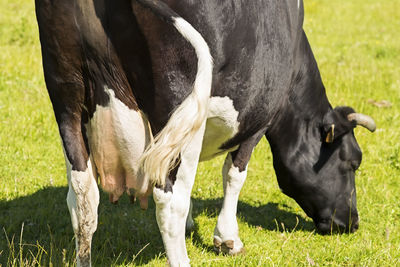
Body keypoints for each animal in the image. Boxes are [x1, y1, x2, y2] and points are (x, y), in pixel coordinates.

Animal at [34, 0, 376, 266]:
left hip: (66, 98)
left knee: (82, 197)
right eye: (353, 162)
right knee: (168, 203)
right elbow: (234, 174)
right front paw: (228, 239)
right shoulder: (258, 119)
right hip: (176, 94)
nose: (352, 221)